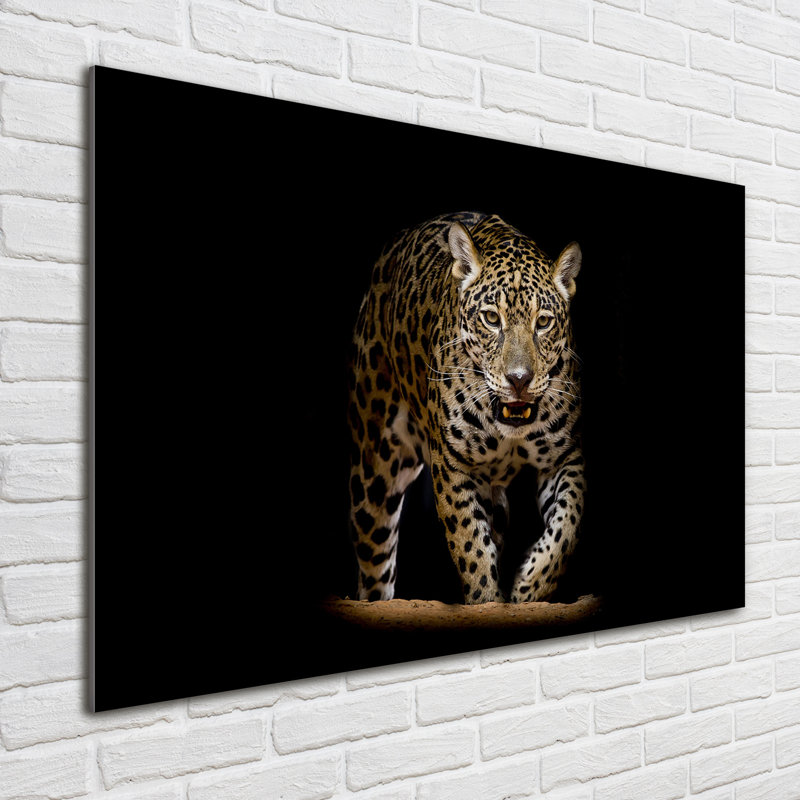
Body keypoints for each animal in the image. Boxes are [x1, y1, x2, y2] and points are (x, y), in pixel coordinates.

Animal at [347, 211, 585, 604]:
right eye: (491, 319)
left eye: (543, 322)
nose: (519, 379)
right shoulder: (452, 466)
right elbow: (470, 546)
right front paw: (487, 598)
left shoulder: (564, 457)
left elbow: (568, 525)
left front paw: (529, 586)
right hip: (374, 471)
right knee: (374, 565)